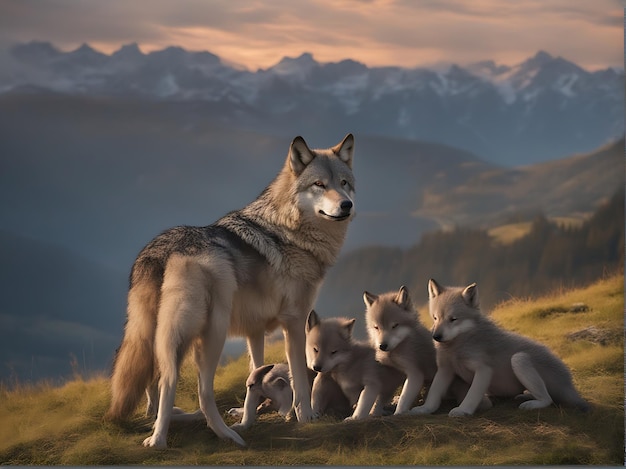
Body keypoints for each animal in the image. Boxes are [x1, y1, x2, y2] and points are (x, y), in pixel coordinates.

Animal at [105, 133, 354, 448]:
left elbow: (255, 377)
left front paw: (249, 418)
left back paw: (170, 423)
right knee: (189, 388)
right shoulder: (295, 322)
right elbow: (300, 375)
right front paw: (306, 417)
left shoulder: (255, 331)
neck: (292, 231)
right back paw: (200, 437)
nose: (347, 205)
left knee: (152, 384)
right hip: (208, 335)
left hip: (155, 337)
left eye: (344, 183)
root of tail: (164, 250)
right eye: (319, 184)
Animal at [364, 286, 436, 414]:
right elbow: (379, 399)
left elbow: (403, 399)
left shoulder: (415, 373)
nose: (382, 346)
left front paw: (398, 413)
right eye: (376, 327)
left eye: (394, 326)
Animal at [408, 278, 588, 416]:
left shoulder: (483, 370)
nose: (436, 337)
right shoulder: (445, 370)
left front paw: (463, 411)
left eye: (453, 319)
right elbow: (433, 395)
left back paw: (531, 404)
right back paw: (525, 396)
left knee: (547, 399)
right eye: (435, 318)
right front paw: (424, 409)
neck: (459, 346)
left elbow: (472, 395)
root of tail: (569, 383)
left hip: (519, 359)